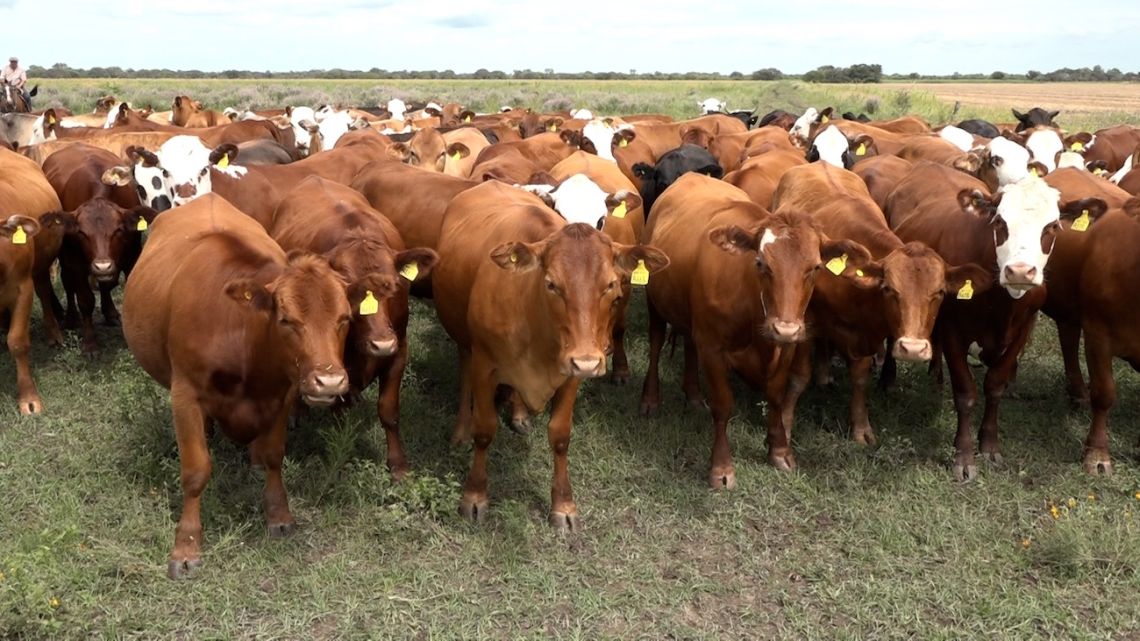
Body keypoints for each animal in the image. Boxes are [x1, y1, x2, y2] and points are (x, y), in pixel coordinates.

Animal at [123, 191, 353, 577]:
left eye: (345, 318)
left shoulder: (283, 393)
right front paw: (186, 547)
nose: (329, 381)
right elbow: (195, 470)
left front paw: (279, 515)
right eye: (286, 320)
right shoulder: (184, 395)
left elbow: (275, 455)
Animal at [271, 176, 440, 476]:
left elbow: (389, 411)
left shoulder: (400, 350)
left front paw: (398, 464)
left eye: (395, 285)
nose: (381, 343)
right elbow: (339, 413)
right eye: (347, 287)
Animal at [433, 177, 665, 524]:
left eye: (610, 285)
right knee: (464, 376)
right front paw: (474, 495)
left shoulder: (572, 372)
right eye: (551, 284)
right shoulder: (485, 363)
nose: (590, 361)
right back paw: (460, 430)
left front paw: (564, 505)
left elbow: (560, 435)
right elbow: (484, 429)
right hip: (462, 337)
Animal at [638, 172, 866, 481]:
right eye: (760, 264)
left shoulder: (786, 347)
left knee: (688, 345)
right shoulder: (712, 347)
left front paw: (780, 451)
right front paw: (722, 468)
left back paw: (694, 396)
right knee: (656, 343)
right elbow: (723, 405)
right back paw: (650, 400)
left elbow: (776, 396)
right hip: (654, 303)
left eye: (816, 268)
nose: (785, 328)